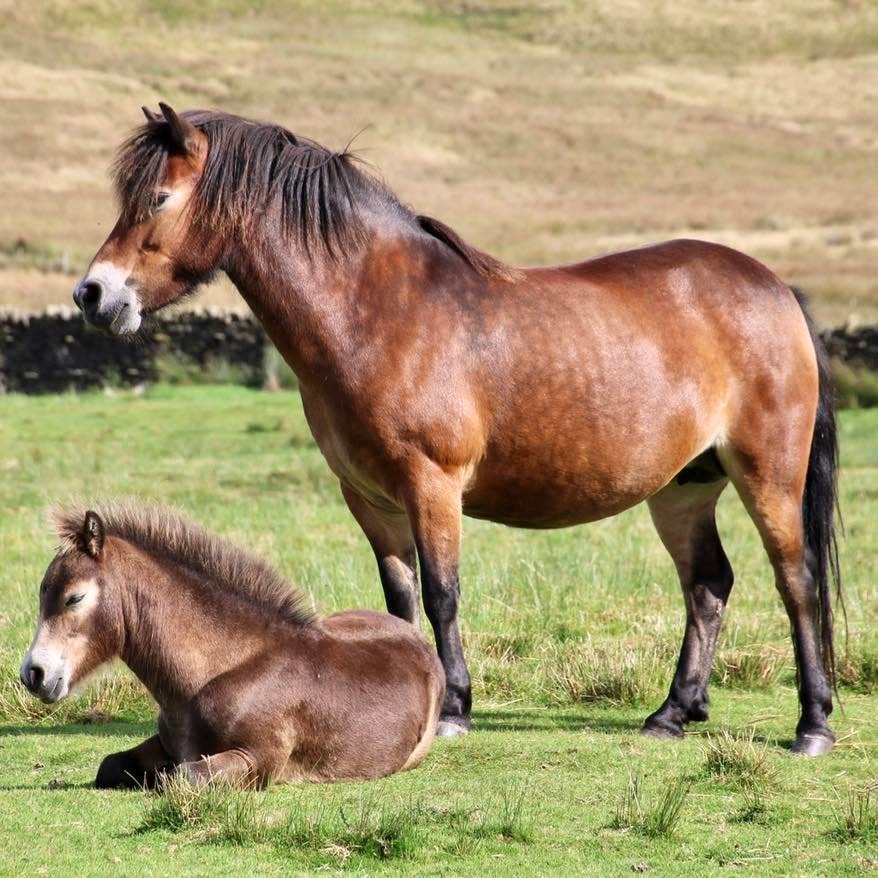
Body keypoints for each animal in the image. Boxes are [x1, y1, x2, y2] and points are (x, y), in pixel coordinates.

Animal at [20, 504, 445, 788]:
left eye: (74, 598)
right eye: (42, 594)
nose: (33, 673)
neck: (217, 670)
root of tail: (420, 642)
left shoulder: (258, 759)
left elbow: (181, 778)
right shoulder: (168, 744)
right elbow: (110, 765)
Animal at [73, 104, 842, 755]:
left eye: (159, 198)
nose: (93, 294)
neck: (379, 311)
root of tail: (775, 289)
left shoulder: (431, 484)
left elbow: (442, 595)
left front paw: (453, 709)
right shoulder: (370, 499)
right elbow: (398, 598)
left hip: (767, 472)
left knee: (795, 579)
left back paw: (812, 723)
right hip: (684, 486)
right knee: (709, 584)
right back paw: (673, 713)